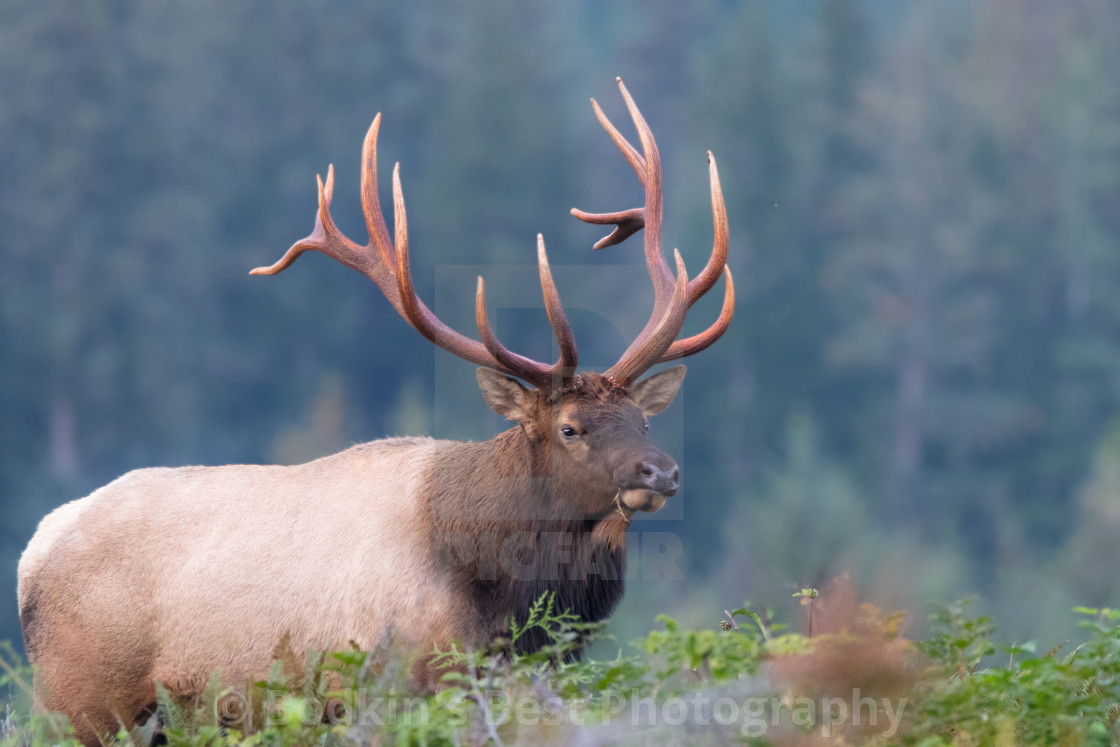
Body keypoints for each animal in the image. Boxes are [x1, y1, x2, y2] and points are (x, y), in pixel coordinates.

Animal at [21, 78, 734, 743]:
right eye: (569, 428)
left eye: (644, 421)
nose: (661, 472)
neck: (496, 595)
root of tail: (34, 550)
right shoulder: (388, 683)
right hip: (81, 701)